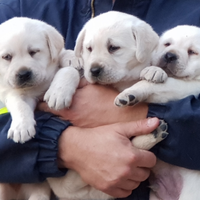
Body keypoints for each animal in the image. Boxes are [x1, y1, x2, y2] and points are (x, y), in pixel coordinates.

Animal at [0, 17, 80, 200]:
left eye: (34, 52)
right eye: (7, 57)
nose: (23, 74)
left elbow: (67, 68)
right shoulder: (14, 92)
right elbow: (19, 104)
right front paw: (21, 127)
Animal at [47, 10, 169, 200]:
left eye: (113, 48)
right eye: (89, 49)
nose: (94, 70)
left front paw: (155, 70)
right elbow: (70, 70)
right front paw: (58, 92)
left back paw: (154, 133)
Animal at [115, 25, 200, 200]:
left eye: (192, 52)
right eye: (167, 44)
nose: (169, 55)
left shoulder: (189, 86)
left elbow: (155, 85)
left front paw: (130, 93)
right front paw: (154, 70)